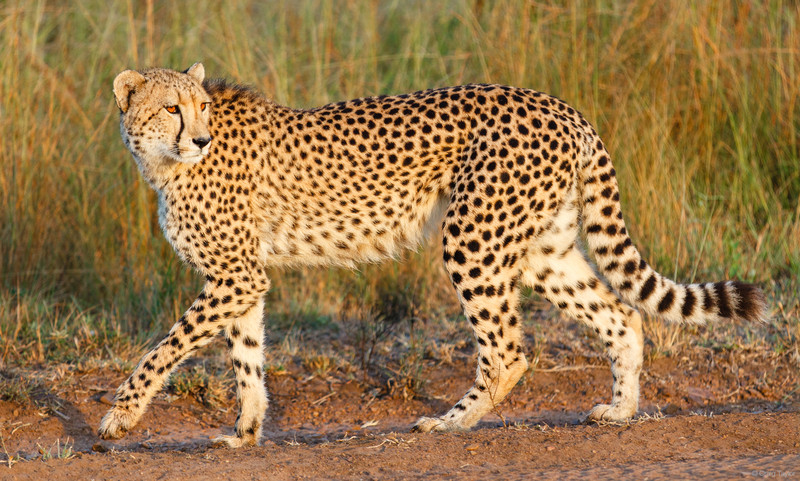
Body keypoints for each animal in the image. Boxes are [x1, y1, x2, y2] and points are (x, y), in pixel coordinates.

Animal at [99, 62, 767, 447]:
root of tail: (562, 106)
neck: (163, 163)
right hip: (542, 249)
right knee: (621, 314)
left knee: (508, 349)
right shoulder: (242, 278)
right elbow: (247, 357)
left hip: (471, 239)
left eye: (200, 106)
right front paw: (246, 431)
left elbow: (165, 347)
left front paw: (120, 418)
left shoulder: (235, 275)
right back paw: (621, 410)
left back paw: (449, 423)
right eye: (171, 107)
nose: (200, 137)